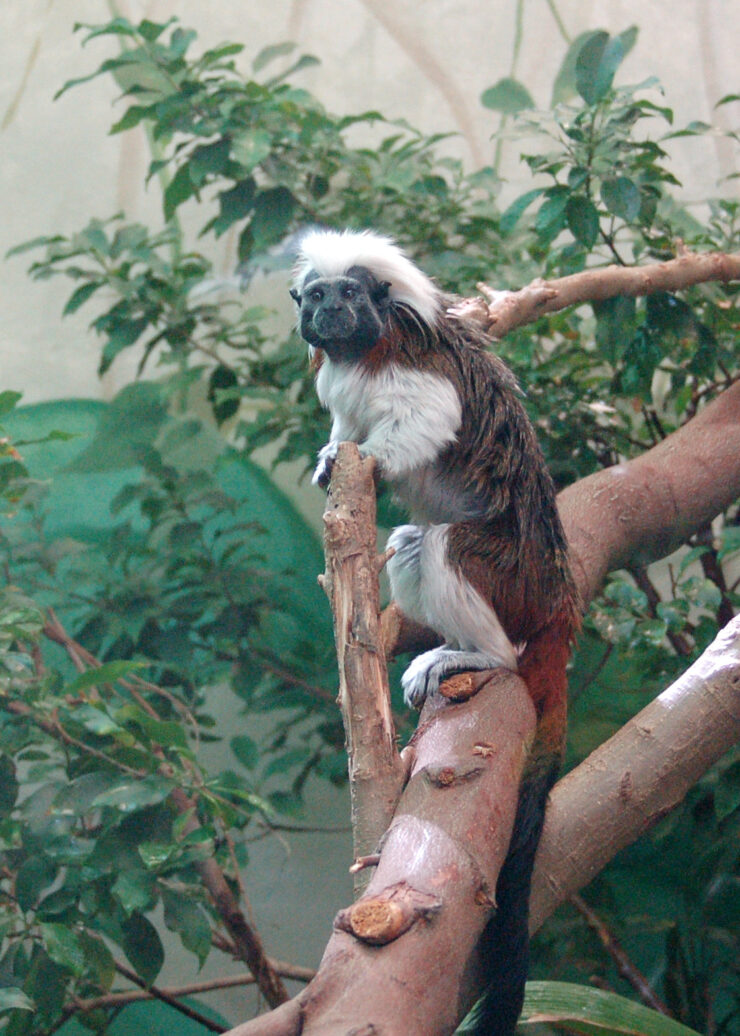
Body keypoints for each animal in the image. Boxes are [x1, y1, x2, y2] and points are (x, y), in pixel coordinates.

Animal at [290, 228, 580, 1036]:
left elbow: (425, 422)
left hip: (510, 580)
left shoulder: (409, 372)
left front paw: (369, 461)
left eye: (350, 295)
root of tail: (556, 601)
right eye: (316, 296)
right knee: (415, 541)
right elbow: (344, 430)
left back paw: (478, 653)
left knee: (445, 547)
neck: (359, 352)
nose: (328, 313)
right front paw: (330, 458)